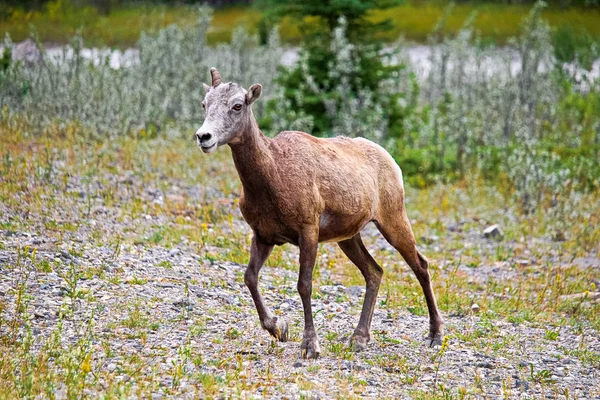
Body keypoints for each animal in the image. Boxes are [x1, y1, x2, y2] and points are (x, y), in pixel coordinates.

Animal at [195, 69, 442, 360]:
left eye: (237, 105)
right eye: (205, 104)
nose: (204, 137)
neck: (273, 178)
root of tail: (391, 161)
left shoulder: (308, 230)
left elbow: (304, 285)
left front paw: (310, 345)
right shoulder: (264, 236)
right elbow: (250, 277)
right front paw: (279, 329)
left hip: (393, 219)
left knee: (420, 266)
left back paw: (435, 336)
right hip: (348, 237)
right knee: (374, 272)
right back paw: (358, 338)